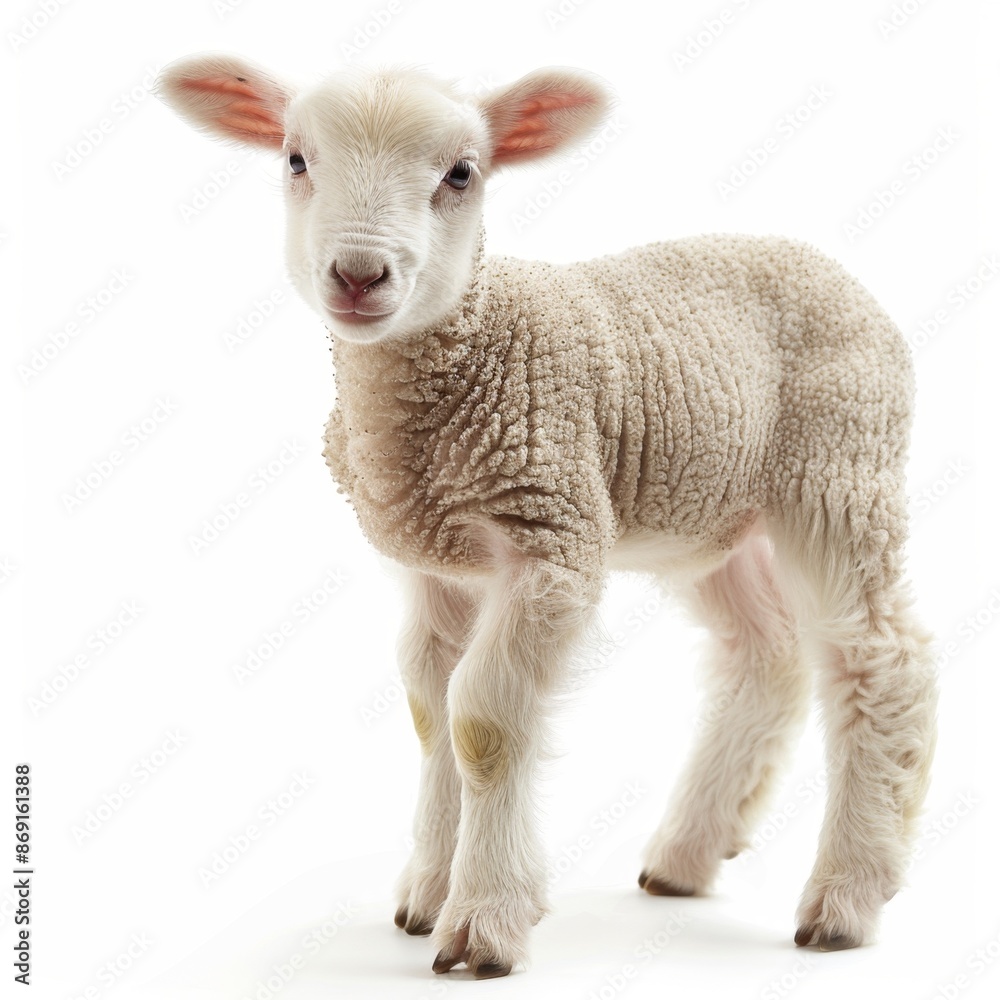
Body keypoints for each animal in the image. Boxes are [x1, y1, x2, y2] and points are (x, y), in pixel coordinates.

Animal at [157, 54, 939, 979]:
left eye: (462, 173)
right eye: (295, 159)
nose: (358, 275)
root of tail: (822, 262)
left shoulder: (551, 540)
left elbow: (482, 723)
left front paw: (484, 921)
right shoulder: (434, 562)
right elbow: (430, 713)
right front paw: (428, 892)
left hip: (840, 467)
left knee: (879, 658)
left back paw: (847, 897)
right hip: (708, 515)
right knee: (766, 653)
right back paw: (686, 855)